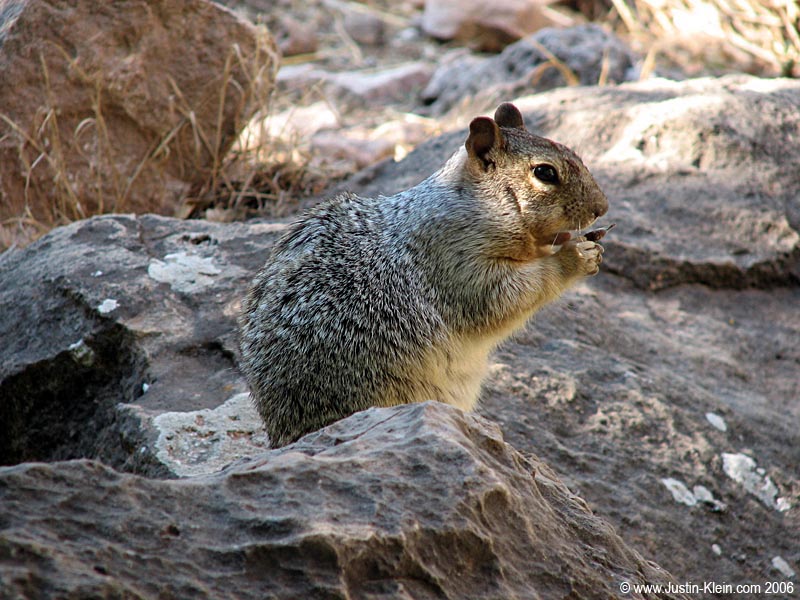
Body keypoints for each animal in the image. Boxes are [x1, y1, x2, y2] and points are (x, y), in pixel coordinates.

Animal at [239, 102, 609, 447]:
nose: (601, 208)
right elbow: (507, 297)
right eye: (545, 173)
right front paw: (574, 255)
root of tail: (281, 435)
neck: (477, 207)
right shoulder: (460, 266)